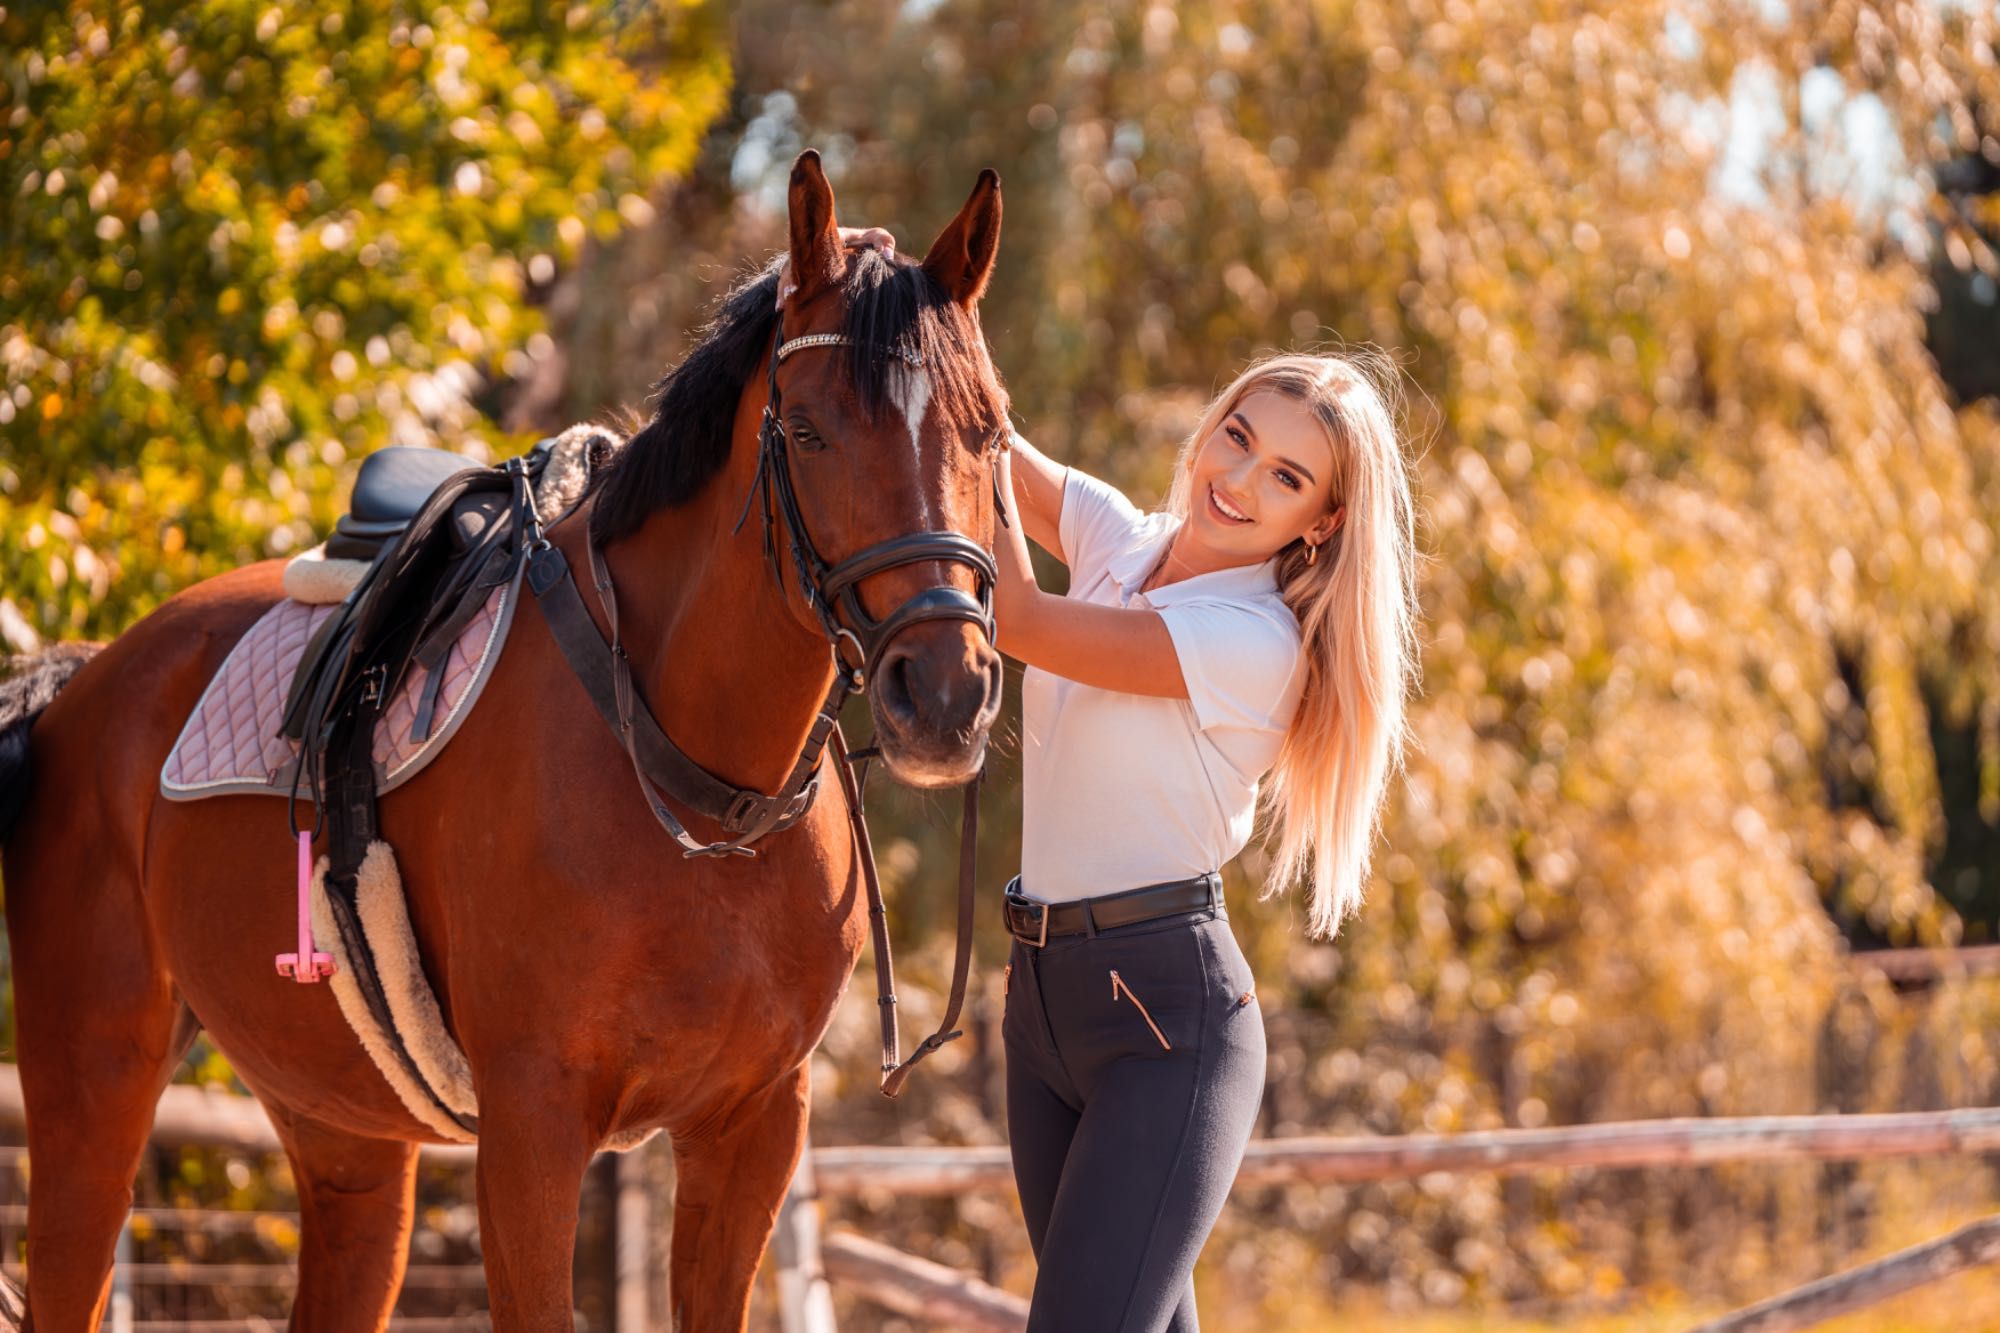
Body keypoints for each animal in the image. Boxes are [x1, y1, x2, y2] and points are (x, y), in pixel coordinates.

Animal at [0, 150, 1008, 1320]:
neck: (702, 801)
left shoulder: (752, 1130)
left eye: (989, 430)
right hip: (90, 1099)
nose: (943, 693)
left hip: (345, 1138)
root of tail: (87, 680)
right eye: (805, 431)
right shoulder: (534, 1131)